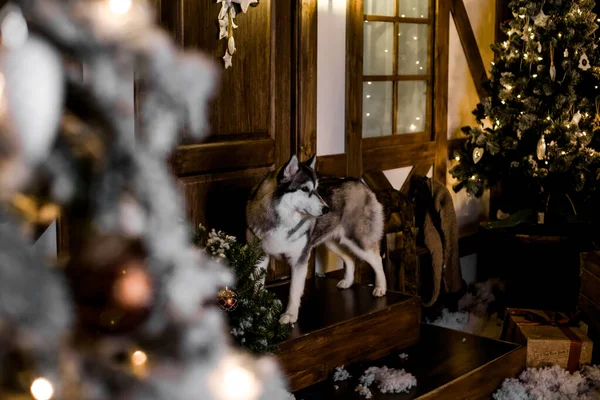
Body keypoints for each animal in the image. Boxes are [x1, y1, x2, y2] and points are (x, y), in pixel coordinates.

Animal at [246, 155, 386, 324]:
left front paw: (290, 315)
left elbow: (294, 290)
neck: (282, 220)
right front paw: (255, 309)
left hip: (358, 241)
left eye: (316, 188)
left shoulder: (299, 259)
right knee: (350, 258)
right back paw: (348, 281)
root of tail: (358, 181)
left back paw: (381, 287)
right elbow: (256, 284)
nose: (327, 209)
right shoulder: (259, 256)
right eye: (305, 189)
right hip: (333, 242)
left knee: (377, 259)